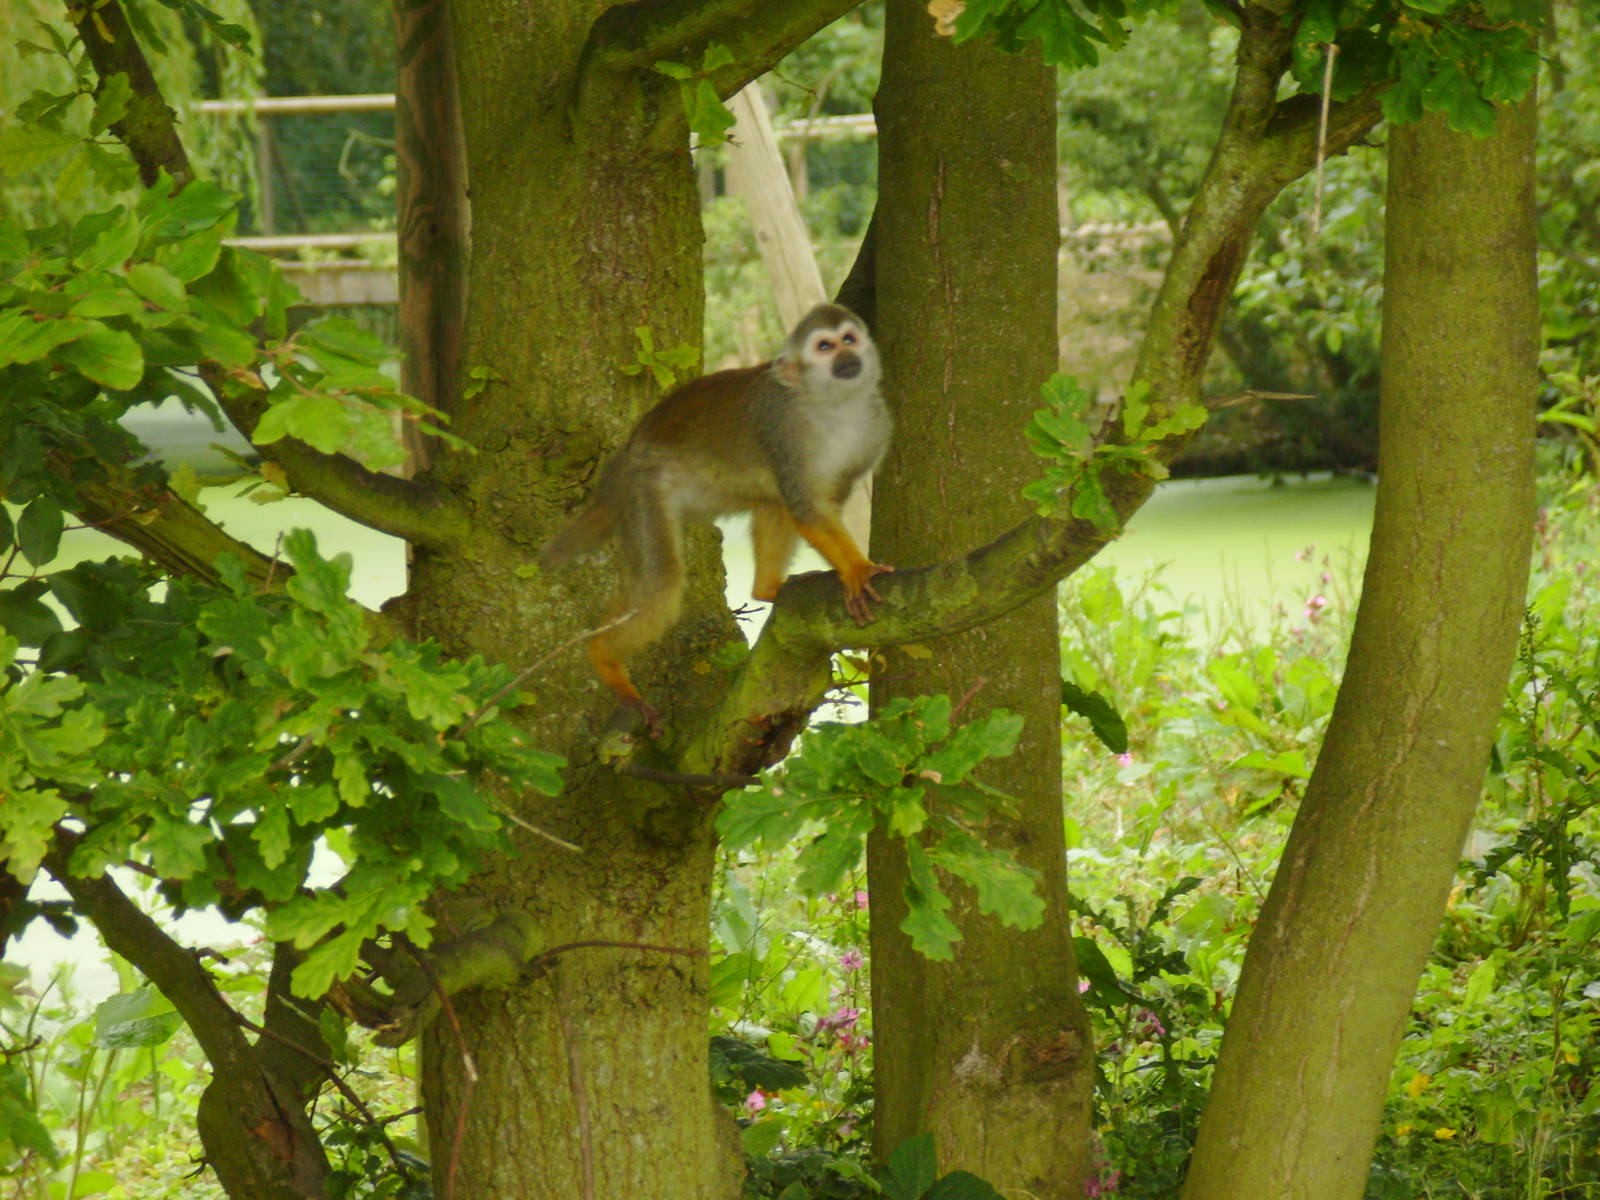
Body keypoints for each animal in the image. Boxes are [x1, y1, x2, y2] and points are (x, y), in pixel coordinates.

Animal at [543, 303, 892, 735]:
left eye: (849, 339)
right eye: (824, 347)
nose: (847, 358)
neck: (835, 407)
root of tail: (624, 459)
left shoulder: (876, 428)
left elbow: (818, 504)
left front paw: (849, 567)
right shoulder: (781, 427)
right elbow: (808, 508)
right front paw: (857, 569)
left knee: (770, 502)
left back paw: (767, 589)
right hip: (642, 491)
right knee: (661, 584)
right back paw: (604, 657)